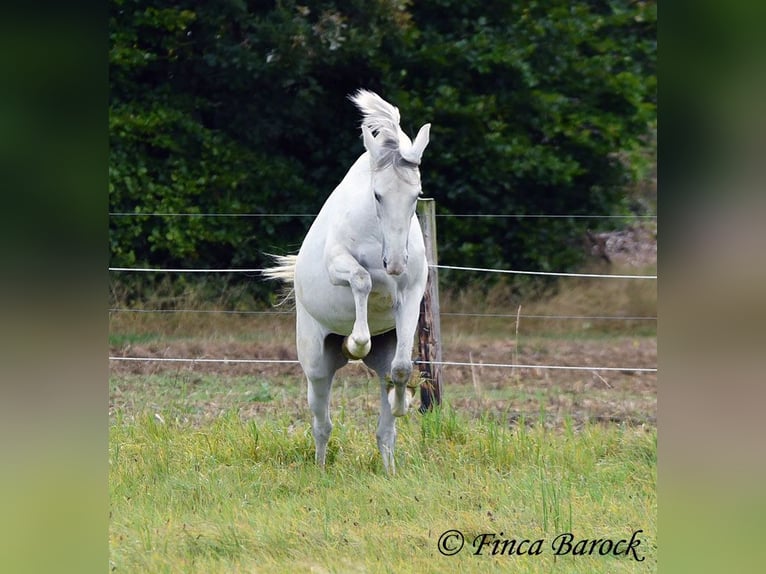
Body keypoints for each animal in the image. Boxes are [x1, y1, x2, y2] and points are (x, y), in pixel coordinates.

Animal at [266, 90, 432, 474]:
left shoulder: (412, 294)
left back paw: (389, 470)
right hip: (316, 364)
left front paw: (402, 403)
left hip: (381, 355)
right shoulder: (338, 265)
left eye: (416, 195)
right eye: (377, 195)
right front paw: (356, 342)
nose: (395, 264)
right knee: (321, 423)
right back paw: (321, 468)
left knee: (384, 426)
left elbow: (402, 368)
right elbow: (361, 279)